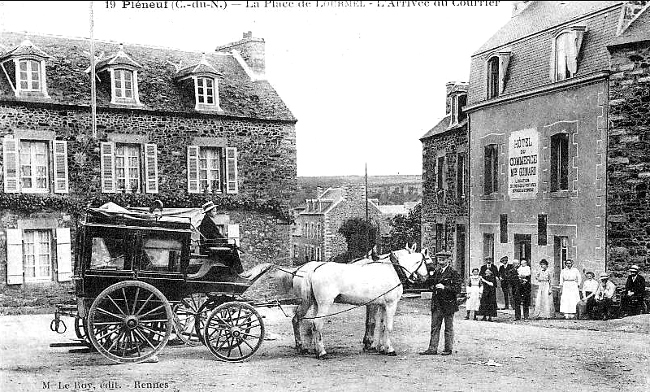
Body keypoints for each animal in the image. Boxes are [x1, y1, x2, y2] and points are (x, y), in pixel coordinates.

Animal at [274, 245, 430, 358]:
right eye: (427, 260)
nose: (425, 277)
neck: (394, 270)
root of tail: (313, 270)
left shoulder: (382, 305)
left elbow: (382, 326)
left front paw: (382, 348)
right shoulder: (391, 304)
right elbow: (387, 326)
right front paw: (389, 349)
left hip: (313, 303)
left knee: (299, 320)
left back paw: (305, 347)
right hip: (324, 304)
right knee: (316, 324)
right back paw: (321, 352)